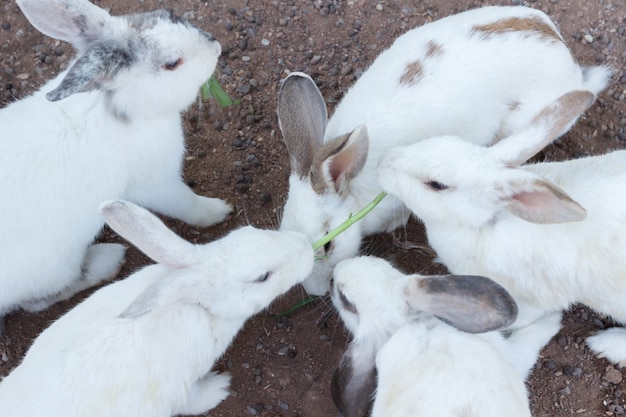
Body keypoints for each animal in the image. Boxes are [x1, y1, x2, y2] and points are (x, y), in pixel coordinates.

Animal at [0, 0, 232, 332]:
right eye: (172, 63)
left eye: (169, 14)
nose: (216, 47)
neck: (113, 104)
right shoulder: (155, 185)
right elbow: (187, 205)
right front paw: (217, 211)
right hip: (54, 267)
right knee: (40, 300)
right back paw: (108, 259)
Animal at [0, 199, 312, 416]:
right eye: (263, 277)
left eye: (248, 229)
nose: (307, 246)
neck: (197, 307)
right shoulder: (179, 388)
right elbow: (193, 402)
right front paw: (220, 387)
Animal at [372, 88, 624, 364]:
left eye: (436, 184)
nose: (383, 161)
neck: (486, 224)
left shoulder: (533, 297)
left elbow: (522, 317)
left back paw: (606, 344)